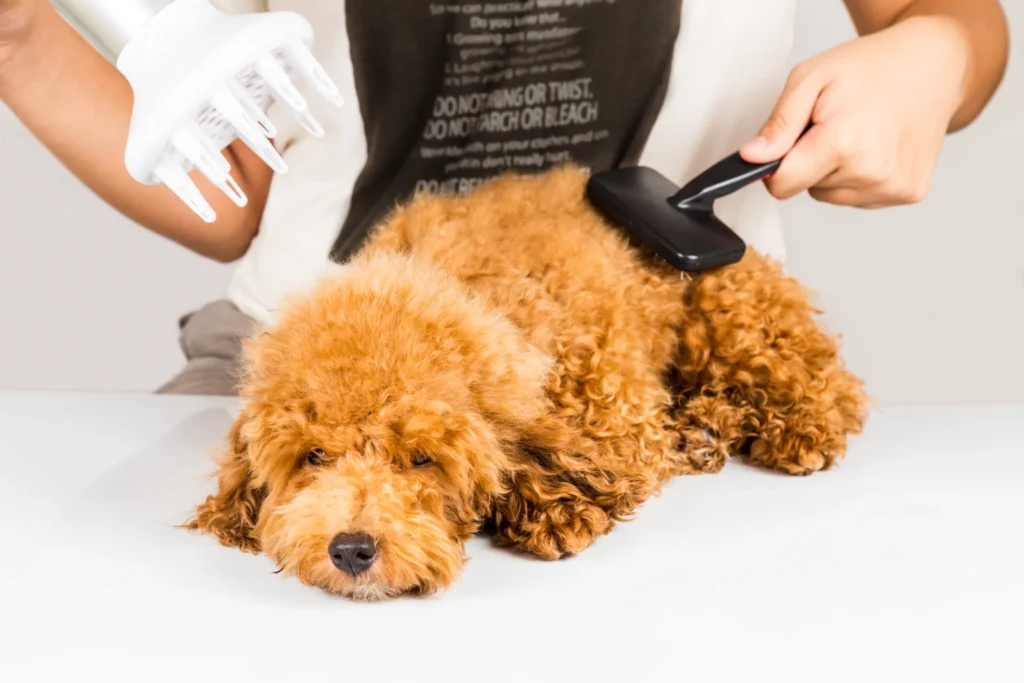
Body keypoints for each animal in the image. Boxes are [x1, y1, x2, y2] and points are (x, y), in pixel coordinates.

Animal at [188, 167, 868, 602]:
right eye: (314, 456)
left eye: (422, 460)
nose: (351, 550)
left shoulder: (620, 419)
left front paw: (553, 511)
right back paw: (706, 428)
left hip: (729, 305)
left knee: (823, 381)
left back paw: (788, 426)